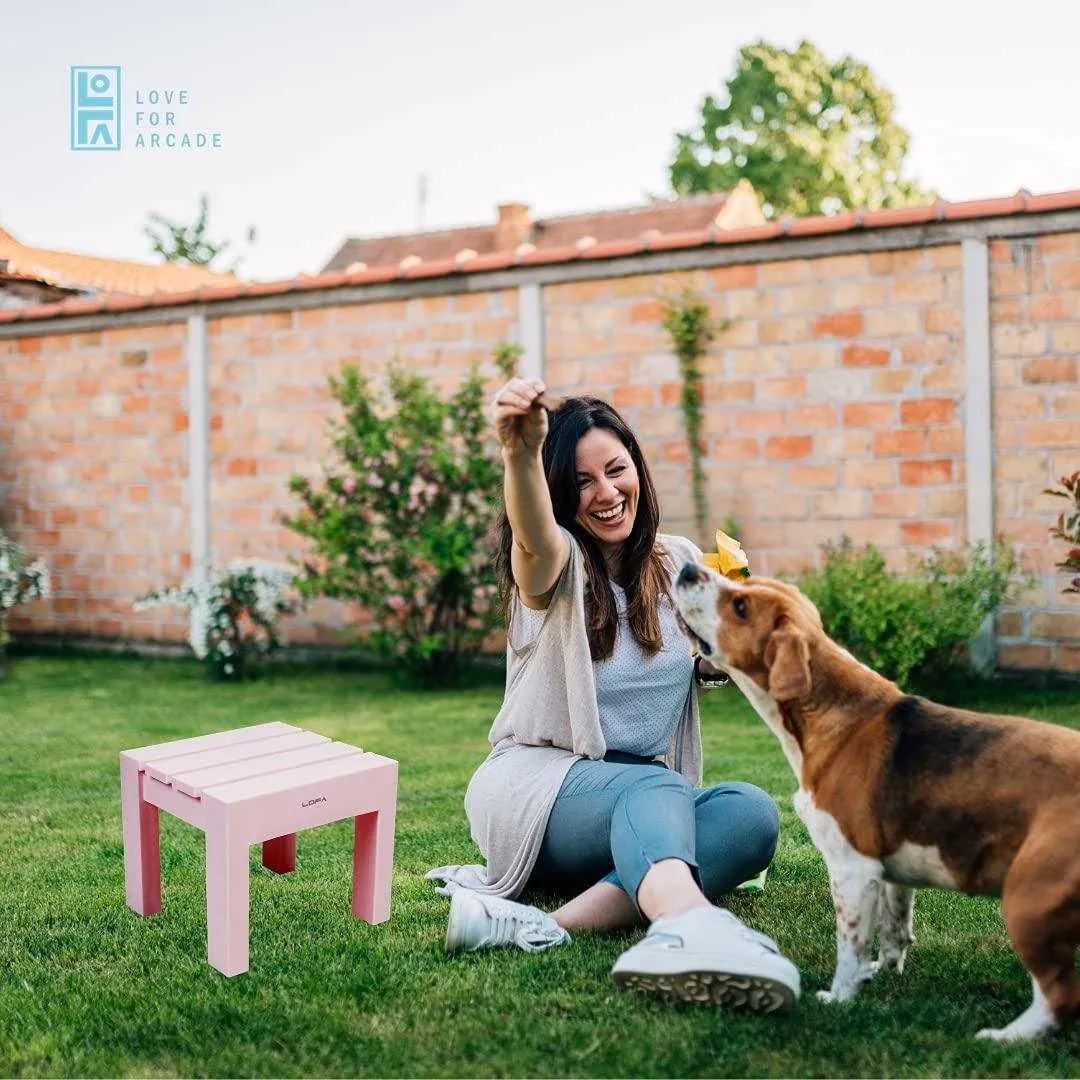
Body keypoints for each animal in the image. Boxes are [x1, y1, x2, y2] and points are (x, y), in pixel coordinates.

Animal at [673, 561, 1080, 1041]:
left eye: (740, 605)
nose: (687, 568)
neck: (830, 711)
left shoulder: (852, 871)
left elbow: (850, 947)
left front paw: (841, 997)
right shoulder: (891, 873)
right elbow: (894, 929)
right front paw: (883, 972)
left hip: (1027, 902)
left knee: (1059, 995)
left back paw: (1007, 1038)